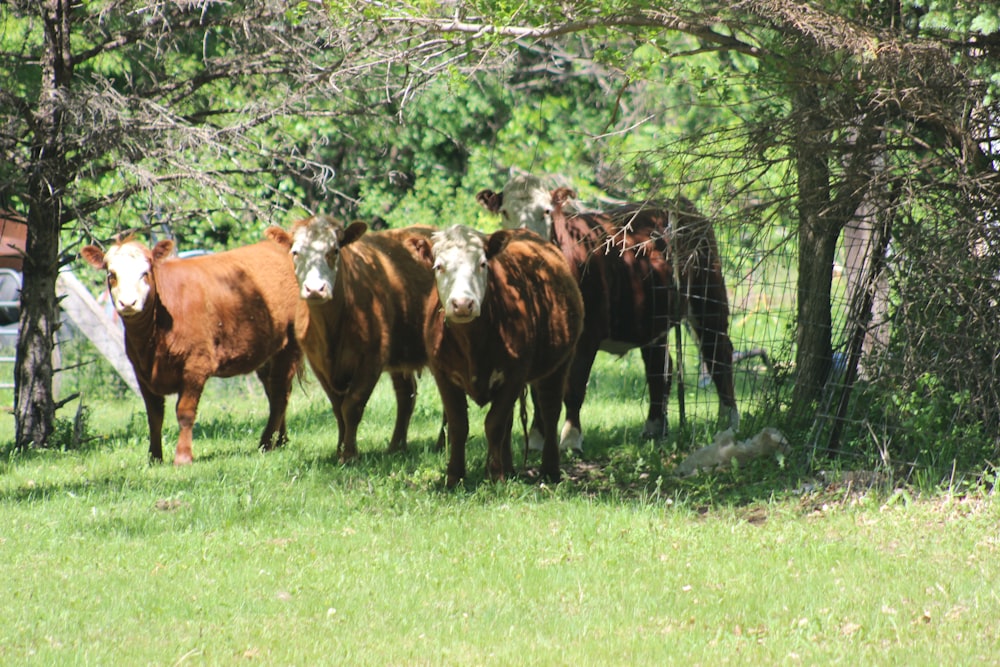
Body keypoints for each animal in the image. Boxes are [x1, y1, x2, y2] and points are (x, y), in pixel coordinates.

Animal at [79, 235, 300, 464]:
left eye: (145, 272)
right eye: (111, 274)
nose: (128, 303)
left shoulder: (196, 365)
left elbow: (184, 412)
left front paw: (183, 456)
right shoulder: (141, 372)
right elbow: (154, 416)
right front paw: (154, 457)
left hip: (289, 346)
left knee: (279, 394)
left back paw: (266, 443)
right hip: (267, 353)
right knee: (275, 392)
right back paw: (280, 441)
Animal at [266, 217, 438, 462]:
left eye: (335, 250)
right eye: (295, 252)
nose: (315, 289)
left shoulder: (372, 358)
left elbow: (352, 406)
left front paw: (349, 454)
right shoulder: (318, 363)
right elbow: (338, 408)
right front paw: (339, 449)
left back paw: (441, 443)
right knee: (406, 394)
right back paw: (396, 446)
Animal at [404, 224, 584, 486]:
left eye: (482, 264)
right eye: (439, 266)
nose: (462, 304)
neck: (473, 342)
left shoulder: (516, 373)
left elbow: (494, 424)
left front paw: (494, 476)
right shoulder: (442, 374)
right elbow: (459, 425)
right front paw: (454, 477)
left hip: (561, 363)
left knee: (550, 411)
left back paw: (549, 471)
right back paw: (509, 469)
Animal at [476, 175, 744, 452]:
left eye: (546, 211)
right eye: (505, 212)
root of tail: (681, 205)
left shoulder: (588, 333)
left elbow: (574, 387)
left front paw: (571, 438)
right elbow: (539, 391)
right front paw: (539, 439)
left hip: (708, 295)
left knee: (718, 353)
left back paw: (728, 419)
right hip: (653, 316)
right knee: (660, 367)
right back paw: (654, 427)